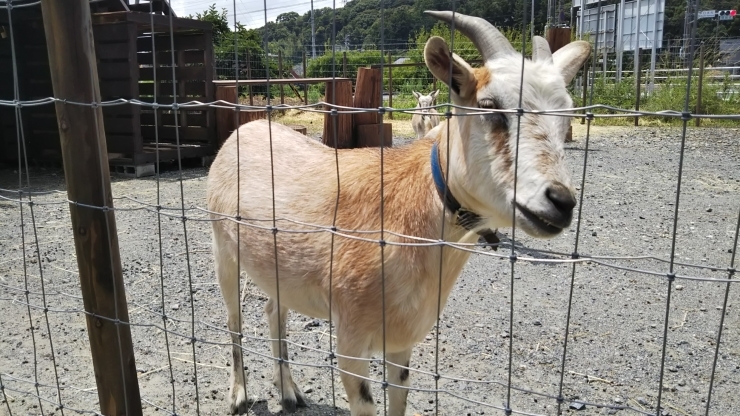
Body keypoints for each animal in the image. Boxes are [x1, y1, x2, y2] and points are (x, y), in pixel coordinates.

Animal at [207, 9, 588, 416]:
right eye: (490, 106)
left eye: (567, 117)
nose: (560, 201)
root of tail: (245, 130)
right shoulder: (351, 339)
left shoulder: (403, 339)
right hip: (222, 247)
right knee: (234, 318)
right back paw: (239, 395)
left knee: (273, 311)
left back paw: (290, 393)